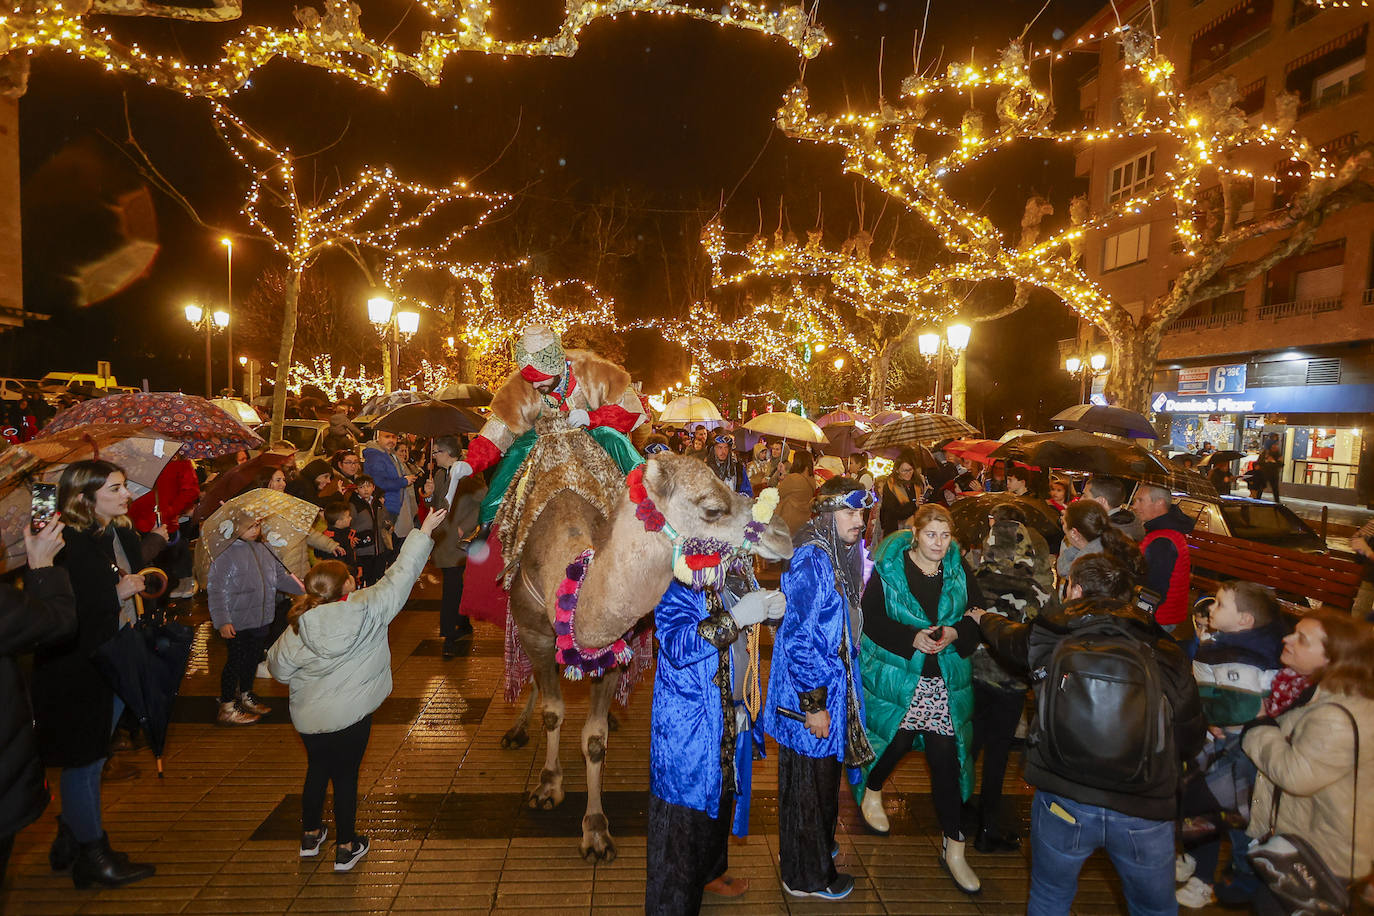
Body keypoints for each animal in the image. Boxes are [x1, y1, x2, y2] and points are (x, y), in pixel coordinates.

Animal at [494, 422, 796, 867]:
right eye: (711, 509)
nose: (783, 534)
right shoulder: (535, 633)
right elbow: (553, 712)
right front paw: (549, 786)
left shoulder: (614, 651)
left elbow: (595, 739)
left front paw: (595, 831)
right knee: (535, 681)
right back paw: (516, 730)